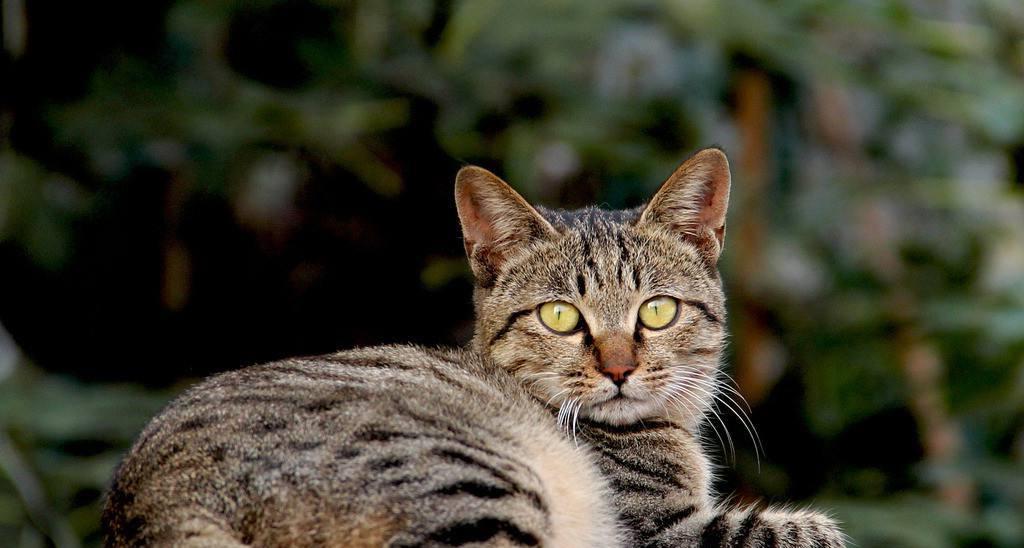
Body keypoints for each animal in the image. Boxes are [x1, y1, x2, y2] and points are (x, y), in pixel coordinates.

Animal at [101, 147, 847, 544]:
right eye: (559, 316)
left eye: (657, 311)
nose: (620, 369)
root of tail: (150, 495)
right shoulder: (662, 532)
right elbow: (800, 530)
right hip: (471, 483)